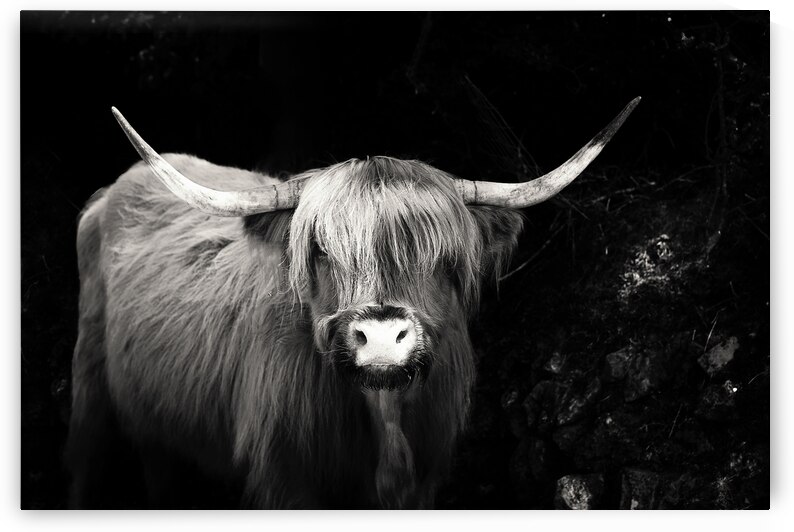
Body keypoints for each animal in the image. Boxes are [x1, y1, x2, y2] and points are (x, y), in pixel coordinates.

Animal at [65, 97, 639, 509]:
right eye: (321, 249)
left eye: (442, 254)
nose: (382, 337)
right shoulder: (286, 479)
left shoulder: (424, 480)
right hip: (89, 395)